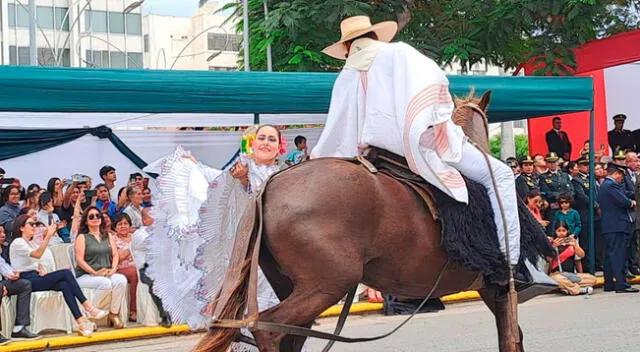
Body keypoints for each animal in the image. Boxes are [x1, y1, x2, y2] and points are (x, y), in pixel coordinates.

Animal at [199, 91, 536, 352]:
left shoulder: (490, 289)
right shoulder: (499, 288)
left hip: (295, 287)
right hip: (327, 285)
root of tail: (270, 185)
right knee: (268, 327)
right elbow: (512, 338)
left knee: (287, 336)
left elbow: (510, 337)